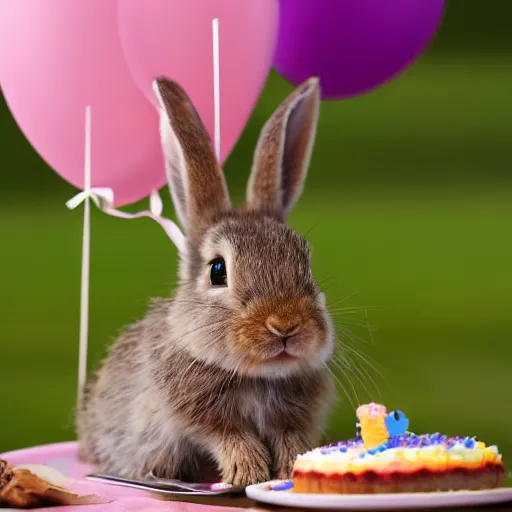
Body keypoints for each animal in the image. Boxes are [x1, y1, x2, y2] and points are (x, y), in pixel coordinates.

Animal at [78, 76, 336, 488]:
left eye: (306, 261)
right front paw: (248, 473)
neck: (256, 377)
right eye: (218, 270)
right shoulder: (197, 415)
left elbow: (289, 438)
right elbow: (228, 436)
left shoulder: (292, 419)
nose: (285, 325)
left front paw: (290, 469)